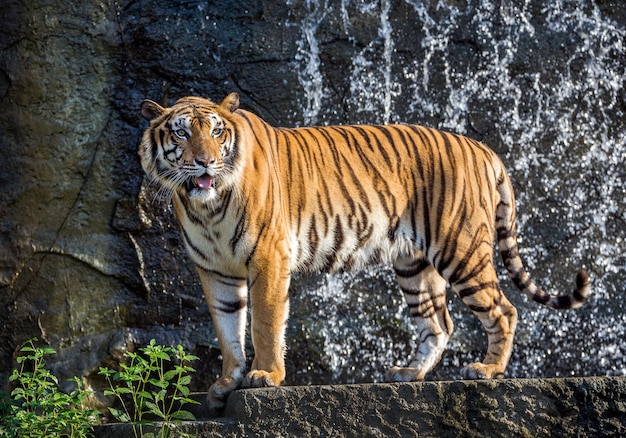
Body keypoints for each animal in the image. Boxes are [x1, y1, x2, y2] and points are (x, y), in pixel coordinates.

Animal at [139, 92, 588, 410]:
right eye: (181, 132)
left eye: (216, 132)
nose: (206, 163)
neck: (206, 207)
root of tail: (481, 147)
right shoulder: (215, 270)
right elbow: (228, 328)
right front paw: (226, 383)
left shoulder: (268, 257)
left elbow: (264, 323)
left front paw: (265, 375)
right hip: (414, 267)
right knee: (439, 323)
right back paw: (409, 373)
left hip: (461, 250)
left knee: (503, 310)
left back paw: (488, 369)